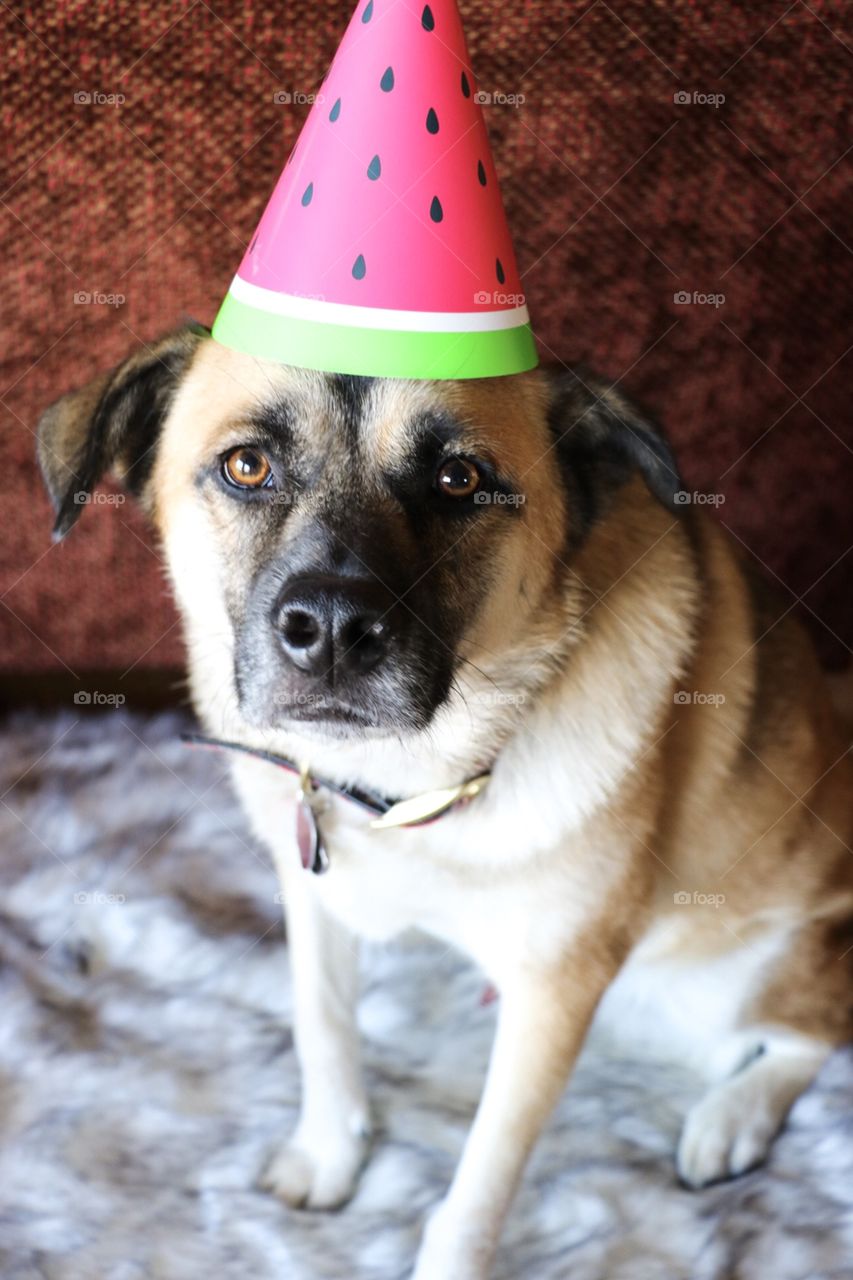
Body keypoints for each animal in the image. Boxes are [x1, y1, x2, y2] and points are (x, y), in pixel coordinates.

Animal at [36, 330, 845, 1280]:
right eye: (246, 465)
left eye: (459, 478)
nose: (334, 630)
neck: (405, 783)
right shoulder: (312, 895)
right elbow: (322, 1029)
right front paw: (328, 1155)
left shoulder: (553, 993)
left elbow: (482, 1178)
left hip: (745, 973)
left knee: (808, 1034)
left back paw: (730, 1119)